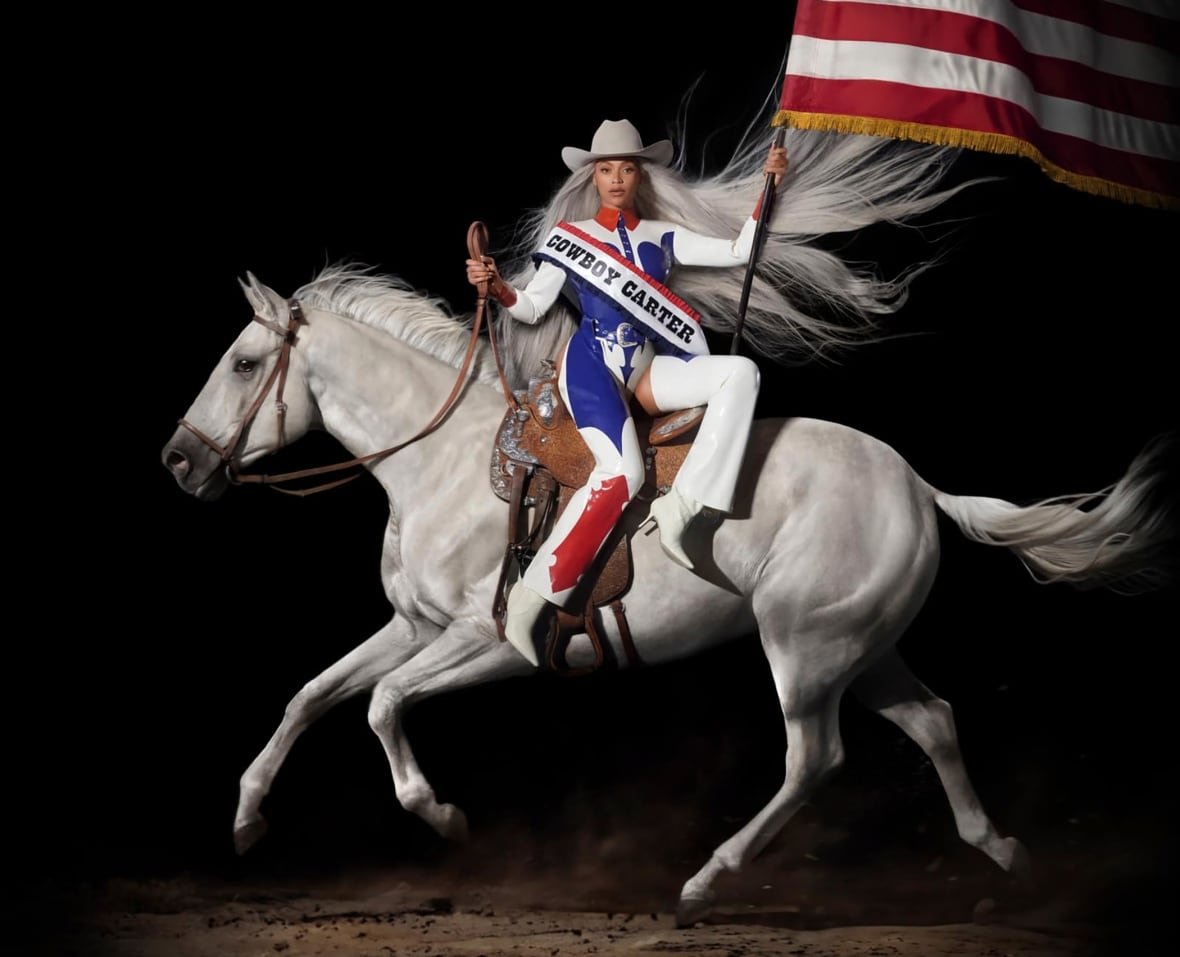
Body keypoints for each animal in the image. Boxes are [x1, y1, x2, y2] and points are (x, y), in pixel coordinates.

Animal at [161, 265, 1175, 925]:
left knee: (815, 758)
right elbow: (314, 694)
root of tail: (917, 485)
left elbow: (379, 705)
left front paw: (440, 813)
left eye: (244, 363)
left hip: (804, 648)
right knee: (932, 721)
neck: (444, 464)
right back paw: (1002, 850)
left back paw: (705, 881)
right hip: (861, 647)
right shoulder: (412, 625)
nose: (177, 461)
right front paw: (247, 818)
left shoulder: (489, 642)